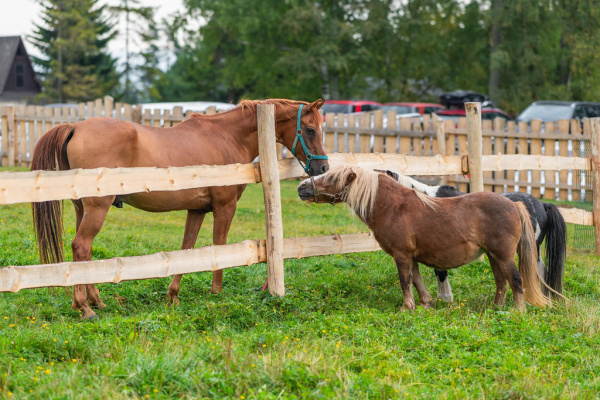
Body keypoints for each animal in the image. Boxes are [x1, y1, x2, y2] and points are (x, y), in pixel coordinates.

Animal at [32, 97, 328, 318]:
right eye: (310, 129)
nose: (323, 167)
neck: (226, 137)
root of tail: (75, 126)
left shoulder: (196, 211)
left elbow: (187, 250)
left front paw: (172, 296)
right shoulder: (225, 207)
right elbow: (219, 247)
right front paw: (216, 294)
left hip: (82, 209)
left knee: (84, 252)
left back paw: (92, 301)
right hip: (97, 209)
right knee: (81, 246)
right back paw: (85, 307)